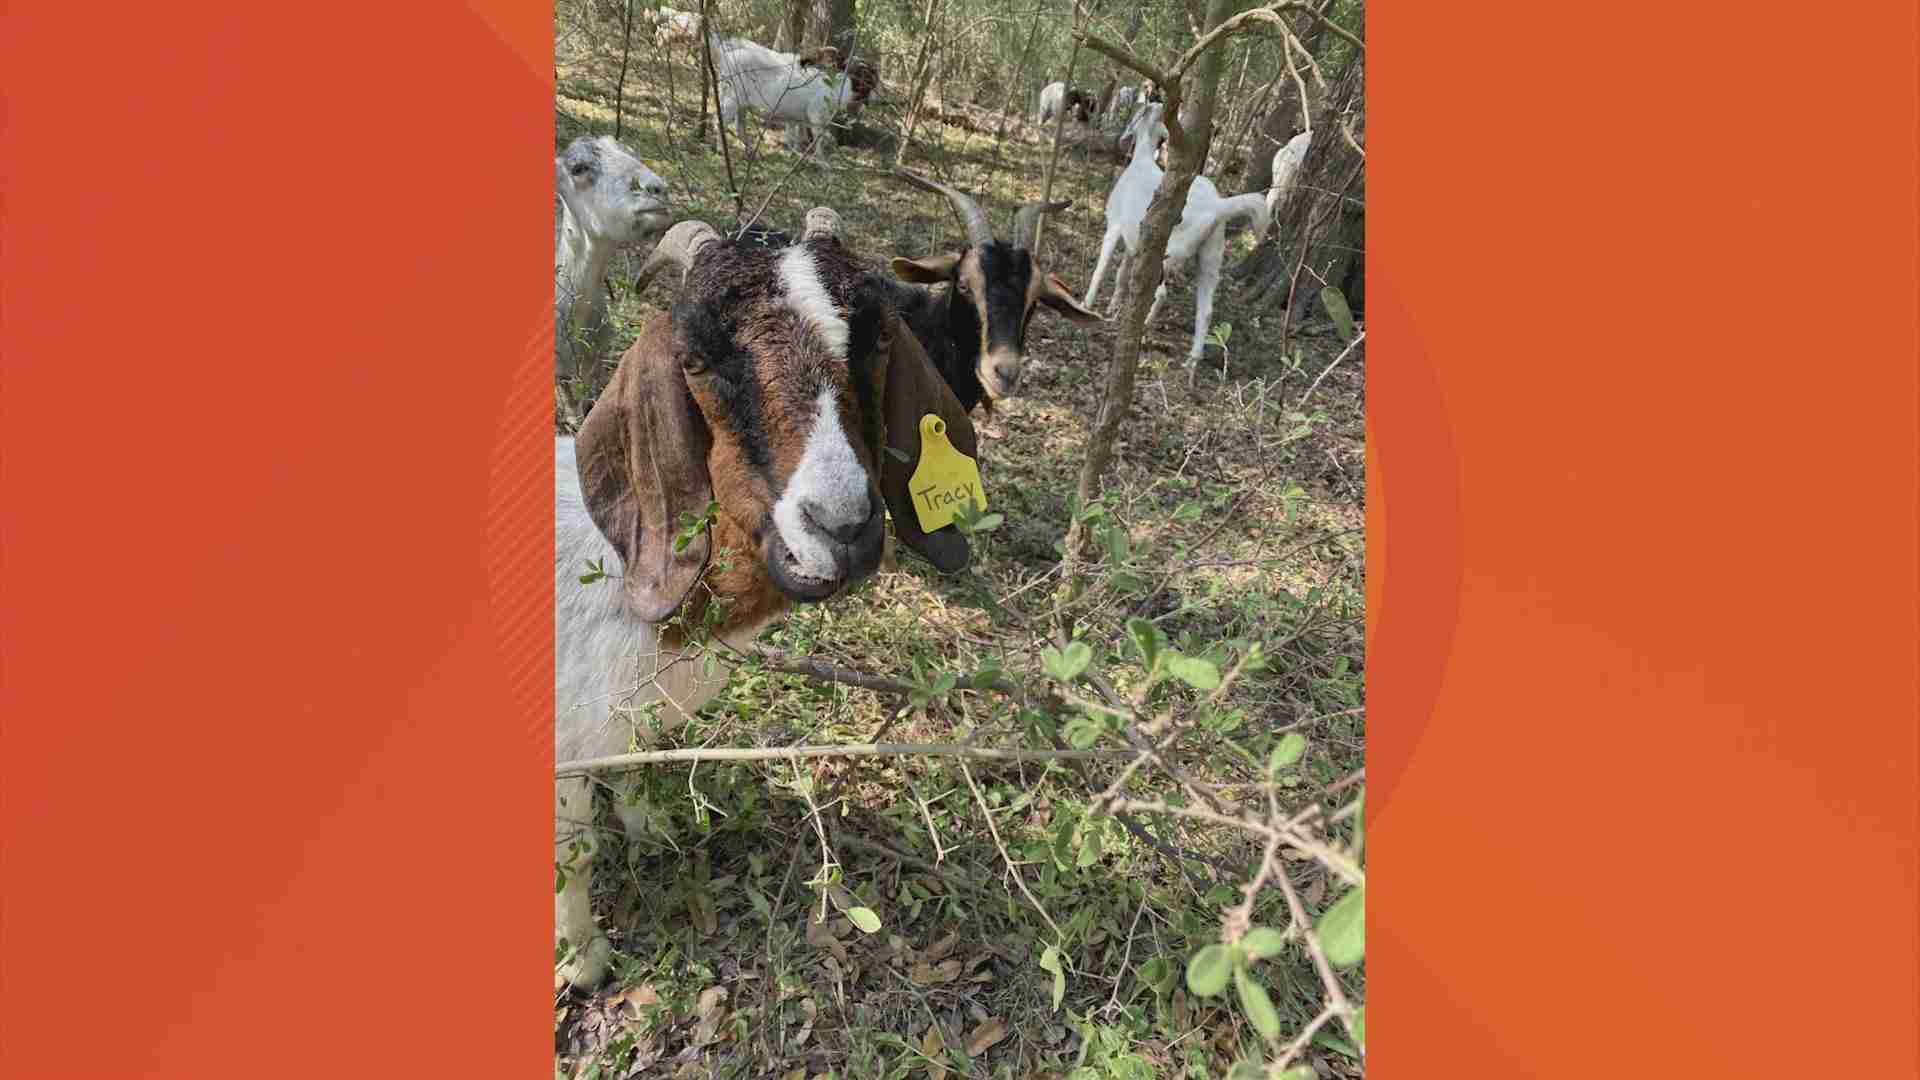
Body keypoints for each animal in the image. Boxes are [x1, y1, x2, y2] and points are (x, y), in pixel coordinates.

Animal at [555, 209, 984, 992]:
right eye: (695, 359)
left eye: (877, 339)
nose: (842, 528)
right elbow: (574, 854)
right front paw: (583, 960)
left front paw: (650, 831)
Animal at [708, 34, 879, 164]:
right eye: (865, 75)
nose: (877, 98)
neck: (834, 88)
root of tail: (725, 55)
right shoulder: (816, 116)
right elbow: (818, 139)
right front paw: (822, 163)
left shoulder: (797, 119)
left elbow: (796, 137)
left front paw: (795, 154)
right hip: (731, 98)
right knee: (720, 122)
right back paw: (722, 152)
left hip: (741, 104)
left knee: (740, 127)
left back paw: (751, 153)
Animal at [1083, 104, 1272, 364]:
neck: (1142, 159)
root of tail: (1217, 206)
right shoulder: (1134, 241)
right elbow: (1122, 273)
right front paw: (1112, 307)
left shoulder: (1115, 226)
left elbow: (1101, 269)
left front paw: (1087, 303)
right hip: (1210, 257)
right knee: (1206, 310)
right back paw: (1192, 360)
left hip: (1168, 253)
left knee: (1161, 294)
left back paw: (1146, 325)